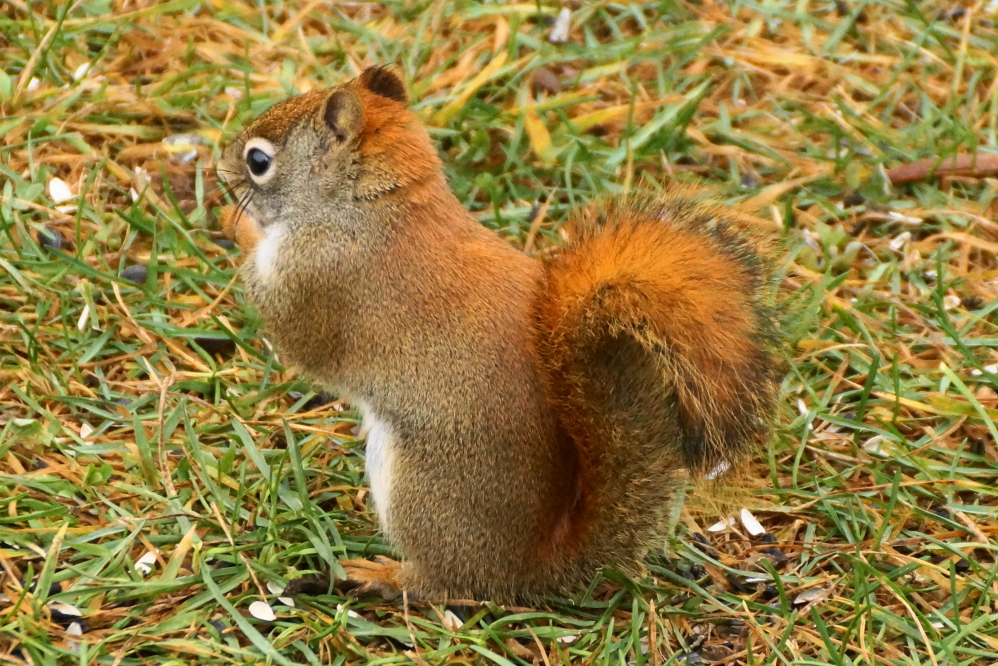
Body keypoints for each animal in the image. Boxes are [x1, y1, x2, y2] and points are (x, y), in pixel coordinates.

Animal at [217, 67, 780, 603]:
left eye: (258, 161)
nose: (221, 170)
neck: (376, 204)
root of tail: (531, 565)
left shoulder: (319, 280)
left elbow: (290, 331)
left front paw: (235, 223)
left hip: (420, 487)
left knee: (448, 582)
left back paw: (386, 576)